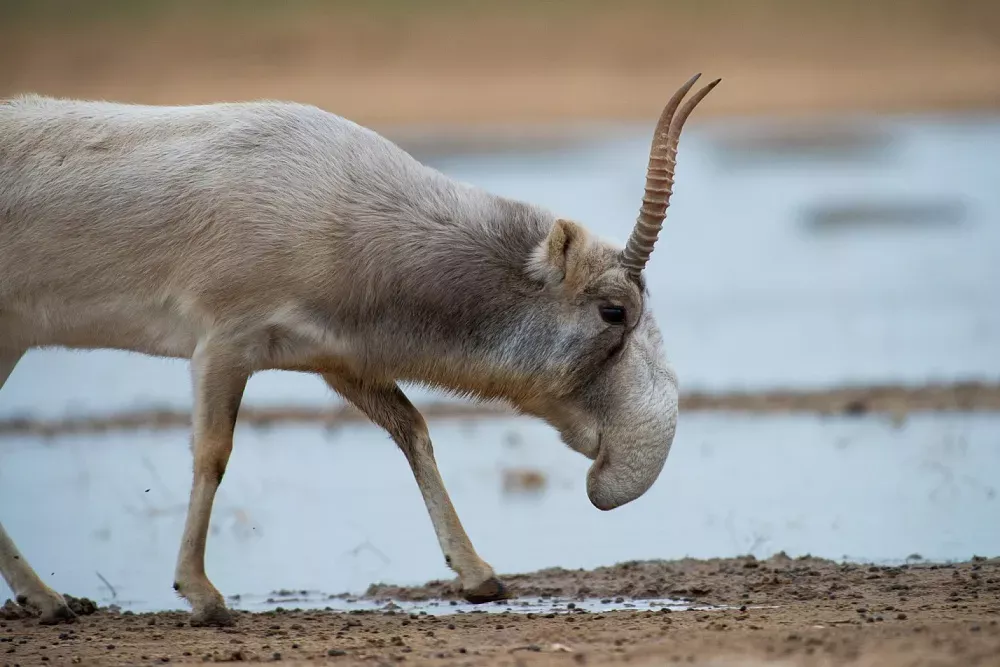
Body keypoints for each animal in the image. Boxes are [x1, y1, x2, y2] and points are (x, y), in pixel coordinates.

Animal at [0, 77, 720, 628]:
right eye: (614, 310)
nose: (615, 470)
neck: (341, 209)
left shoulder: (337, 362)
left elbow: (413, 430)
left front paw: (478, 577)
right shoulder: (221, 345)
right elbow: (212, 454)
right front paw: (203, 596)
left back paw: (49, 600)